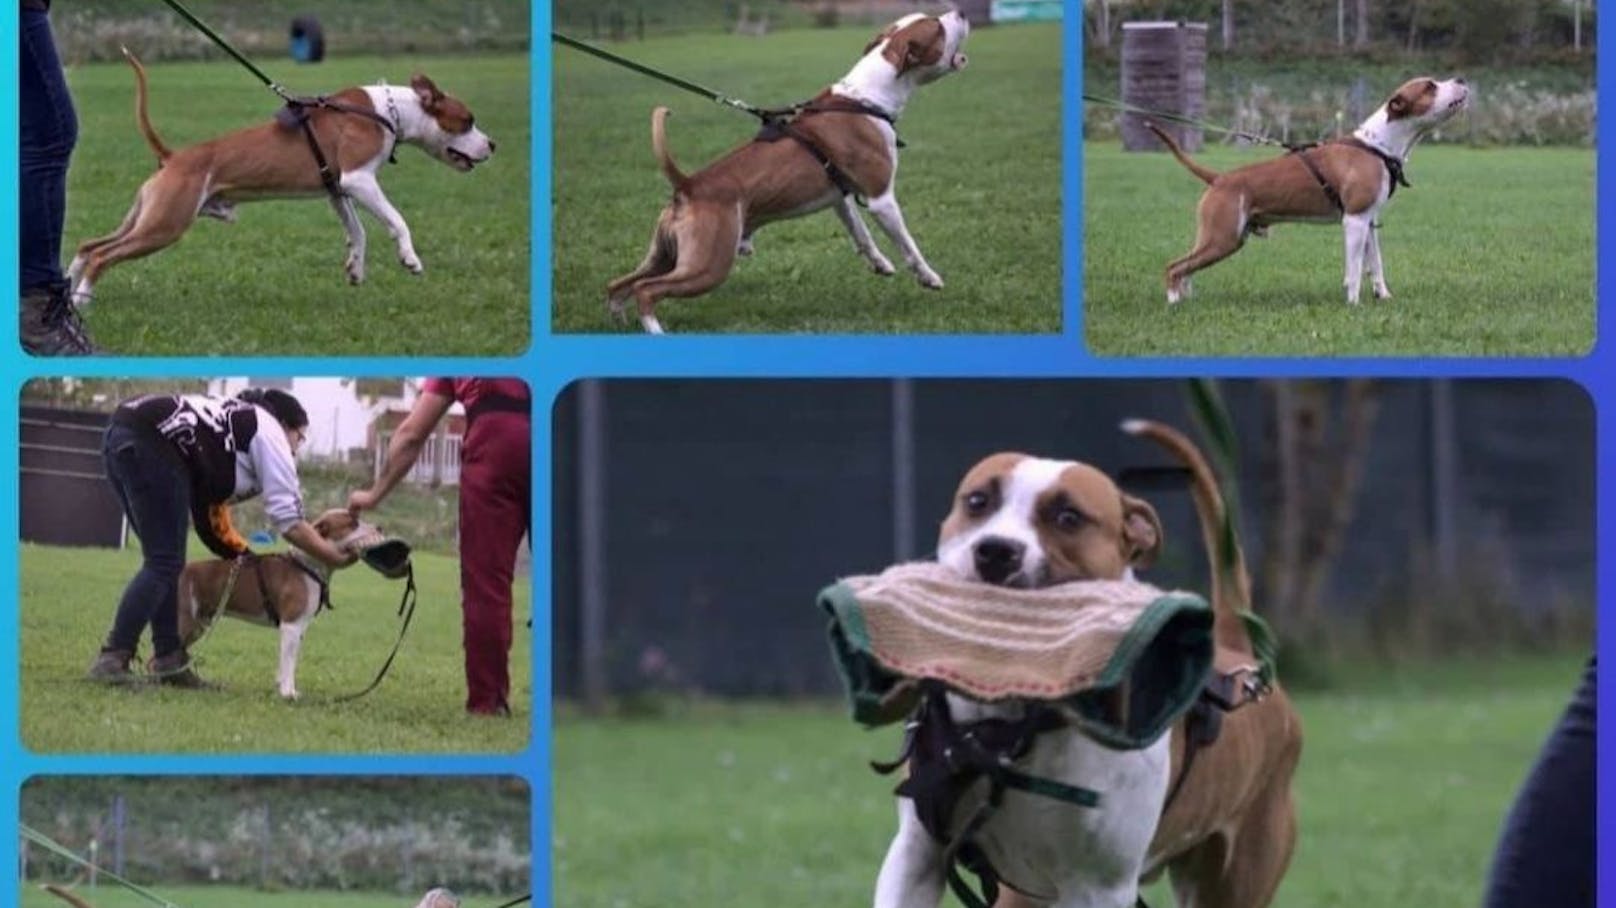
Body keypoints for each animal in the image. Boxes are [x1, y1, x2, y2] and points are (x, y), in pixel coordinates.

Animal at [64, 51, 491, 305]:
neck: (389, 110)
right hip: (164, 226)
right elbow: (397, 221)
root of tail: (174, 157)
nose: (494, 144)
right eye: (467, 120)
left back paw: (69, 287)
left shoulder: (337, 190)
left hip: (147, 219)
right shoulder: (358, 180)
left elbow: (358, 232)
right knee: (102, 255)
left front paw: (355, 269)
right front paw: (410, 258)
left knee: (89, 245)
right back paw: (83, 297)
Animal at [176, 504, 370, 694]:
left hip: (199, 624)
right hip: (187, 622)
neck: (308, 565)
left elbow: (287, 662)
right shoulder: (291, 625)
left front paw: (283, 687)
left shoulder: (299, 629)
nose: (376, 528)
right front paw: (288, 693)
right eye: (353, 524)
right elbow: (289, 663)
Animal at [607, 8, 969, 334]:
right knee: (646, 291)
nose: (962, 11)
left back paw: (619, 321)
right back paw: (654, 330)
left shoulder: (840, 196)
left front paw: (879, 263)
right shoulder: (882, 199)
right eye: (937, 27)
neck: (864, 99)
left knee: (619, 285)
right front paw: (929, 277)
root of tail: (689, 185)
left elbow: (861, 235)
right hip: (707, 266)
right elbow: (909, 246)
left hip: (666, 257)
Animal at [879, 420, 1305, 898]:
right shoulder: (917, 855)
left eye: (1069, 517)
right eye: (977, 501)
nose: (996, 550)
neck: (1013, 721)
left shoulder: (1099, 884)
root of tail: (1242, 660)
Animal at [1157, 77, 1473, 303]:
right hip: (1222, 238)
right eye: (1430, 86)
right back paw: (1174, 303)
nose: (1461, 78)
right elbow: (1354, 270)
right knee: (1174, 267)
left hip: (1226, 240)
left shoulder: (1369, 222)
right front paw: (1353, 304)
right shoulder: (1354, 220)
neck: (1378, 145)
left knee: (1187, 268)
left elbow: (1376, 265)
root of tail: (1219, 178)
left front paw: (1383, 296)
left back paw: (1186, 299)